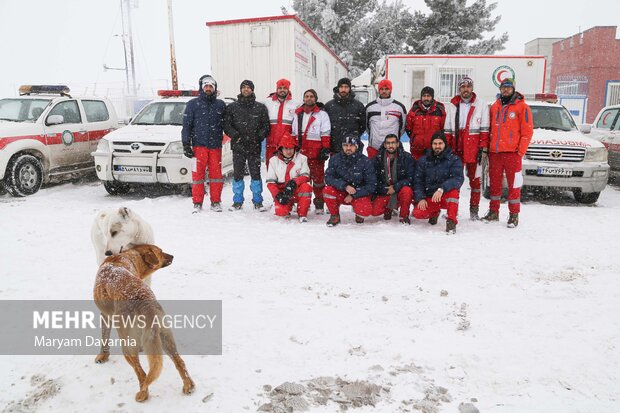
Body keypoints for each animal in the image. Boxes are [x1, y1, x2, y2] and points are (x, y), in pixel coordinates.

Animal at [93, 245, 195, 400]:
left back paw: (143, 394)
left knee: (141, 373)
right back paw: (189, 386)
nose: (172, 256)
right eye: (160, 251)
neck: (124, 257)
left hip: (127, 344)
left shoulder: (105, 316)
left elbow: (104, 338)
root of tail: (146, 306)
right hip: (165, 337)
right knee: (179, 361)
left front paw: (103, 356)